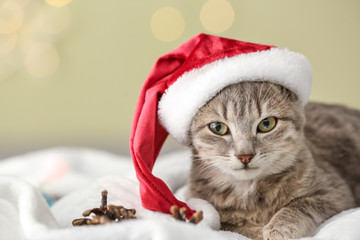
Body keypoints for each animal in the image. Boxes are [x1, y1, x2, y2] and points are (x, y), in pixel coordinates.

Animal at [188, 81, 360, 240]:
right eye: (217, 127)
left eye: (267, 123)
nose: (245, 155)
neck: (249, 191)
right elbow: (232, 227)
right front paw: (258, 231)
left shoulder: (335, 192)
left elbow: (300, 205)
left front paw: (280, 228)